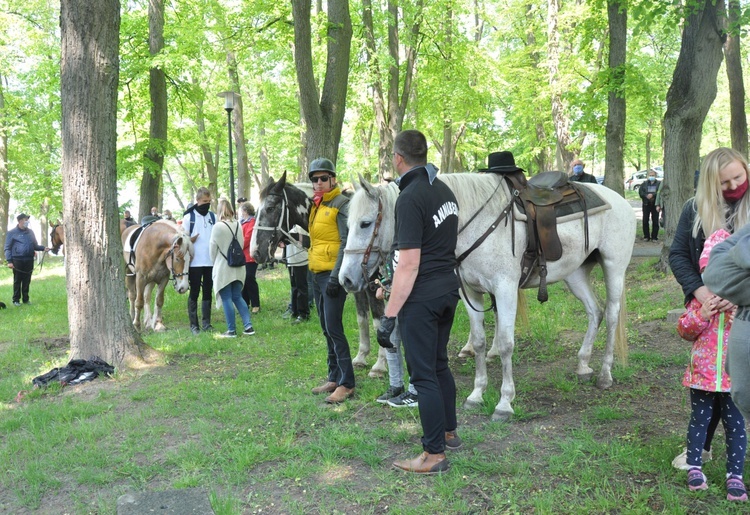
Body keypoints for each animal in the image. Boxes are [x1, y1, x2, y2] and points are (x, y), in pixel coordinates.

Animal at [251, 173, 390, 378]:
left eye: (270, 208)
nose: (255, 252)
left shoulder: (373, 285)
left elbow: (378, 321)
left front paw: (379, 365)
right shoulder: (355, 285)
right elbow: (362, 319)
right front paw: (361, 357)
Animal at [340, 174, 636, 424]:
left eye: (365, 223)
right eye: (348, 223)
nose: (345, 279)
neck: (473, 224)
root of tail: (619, 200)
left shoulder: (505, 289)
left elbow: (505, 344)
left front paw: (504, 403)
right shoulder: (470, 291)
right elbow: (480, 341)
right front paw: (476, 394)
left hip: (613, 268)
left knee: (611, 316)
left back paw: (605, 374)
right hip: (574, 274)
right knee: (595, 311)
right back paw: (583, 365)